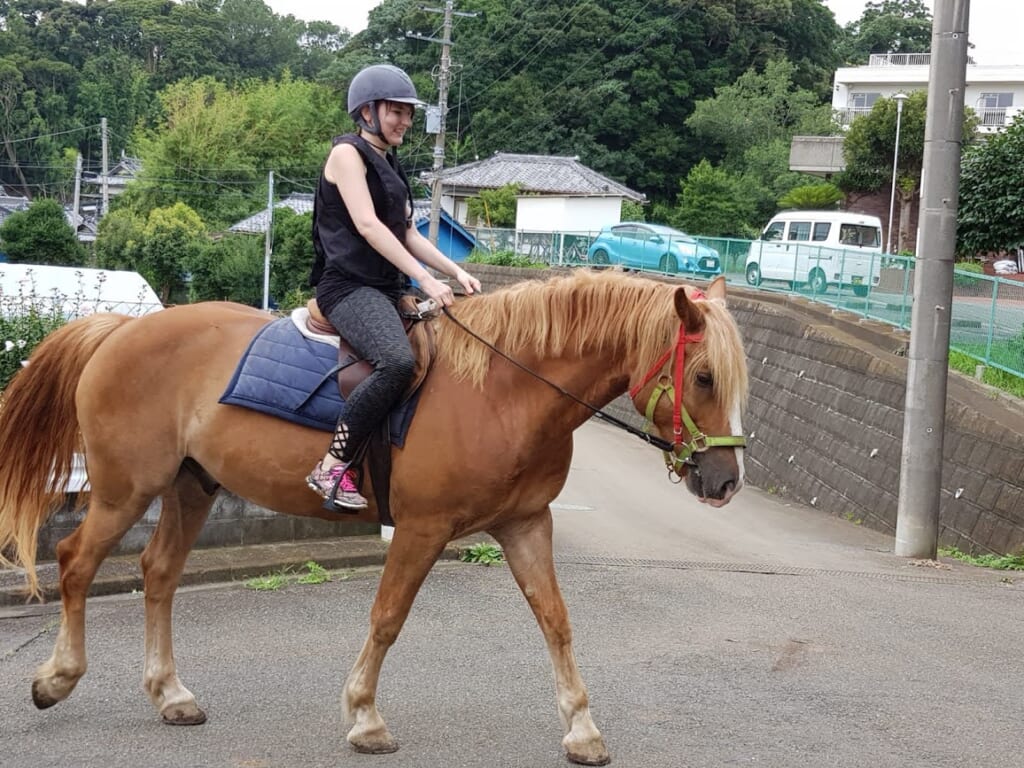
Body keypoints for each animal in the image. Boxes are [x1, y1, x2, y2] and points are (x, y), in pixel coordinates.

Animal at [0, 269, 748, 766]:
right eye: (704, 377)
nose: (726, 481)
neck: (503, 389)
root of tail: (124, 330)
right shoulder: (422, 528)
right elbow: (387, 617)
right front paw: (363, 717)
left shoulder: (527, 524)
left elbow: (556, 622)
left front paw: (583, 729)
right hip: (127, 489)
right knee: (75, 564)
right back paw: (56, 678)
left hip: (191, 486)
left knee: (158, 574)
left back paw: (170, 694)